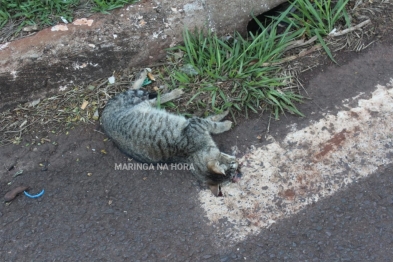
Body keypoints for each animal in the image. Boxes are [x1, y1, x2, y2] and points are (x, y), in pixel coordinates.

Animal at [100, 87, 239, 194]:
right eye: (231, 171)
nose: (237, 169)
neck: (192, 154)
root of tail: (104, 119)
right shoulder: (196, 123)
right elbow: (213, 124)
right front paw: (225, 122)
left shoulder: (196, 123)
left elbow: (211, 119)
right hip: (142, 106)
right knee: (155, 100)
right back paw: (174, 93)